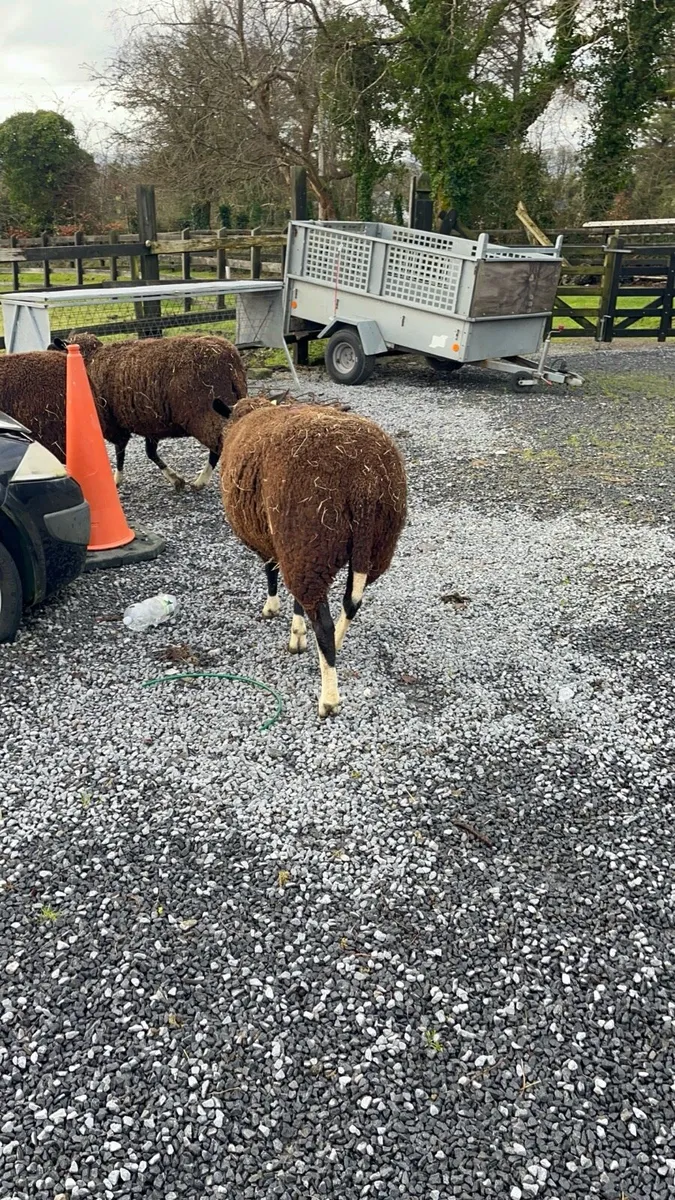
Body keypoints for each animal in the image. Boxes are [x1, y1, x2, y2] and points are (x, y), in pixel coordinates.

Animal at [49, 332, 248, 490]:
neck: (90, 360)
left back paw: (201, 481)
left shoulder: (114, 424)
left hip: (204, 414)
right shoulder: (150, 423)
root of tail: (229, 358)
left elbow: (120, 451)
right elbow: (150, 453)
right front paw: (175, 480)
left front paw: (117, 479)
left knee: (218, 446)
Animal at [215, 394, 407, 717]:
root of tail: (365, 483)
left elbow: (270, 571)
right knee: (350, 602)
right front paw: (297, 632)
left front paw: (273, 610)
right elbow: (298, 600)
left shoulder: (270, 540)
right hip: (370, 546)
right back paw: (335, 644)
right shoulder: (290, 549)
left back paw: (328, 698)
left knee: (324, 625)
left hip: (309, 540)